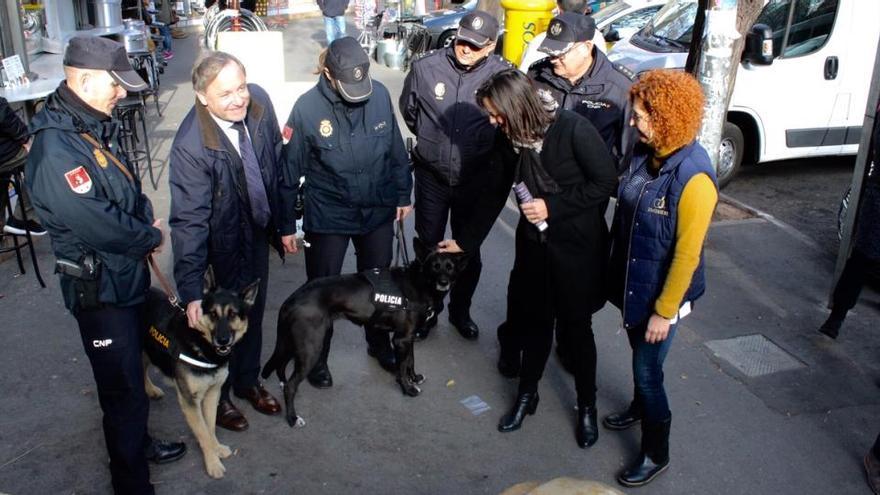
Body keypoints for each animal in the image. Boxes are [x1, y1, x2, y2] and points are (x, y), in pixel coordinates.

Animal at [142, 268, 258, 480]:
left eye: (233, 315)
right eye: (212, 314)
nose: (222, 340)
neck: (202, 345)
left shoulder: (213, 394)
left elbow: (210, 426)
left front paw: (216, 448)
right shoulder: (189, 401)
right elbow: (203, 432)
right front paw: (212, 463)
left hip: (148, 351)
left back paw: (151, 390)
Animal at [262, 238, 468, 428]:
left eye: (450, 268)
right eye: (434, 267)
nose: (443, 282)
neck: (418, 282)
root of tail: (293, 298)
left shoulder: (408, 337)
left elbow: (411, 360)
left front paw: (414, 378)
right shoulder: (401, 339)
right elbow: (402, 367)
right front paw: (408, 388)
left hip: (294, 342)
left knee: (280, 366)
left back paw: (282, 385)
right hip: (311, 347)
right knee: (291, 386)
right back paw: (292, 418)